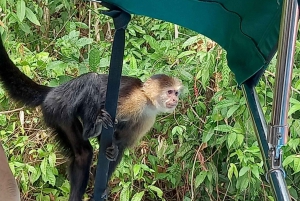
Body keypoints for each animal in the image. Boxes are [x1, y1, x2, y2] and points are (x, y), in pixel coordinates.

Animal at [0, 38, 183, 200]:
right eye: (169, 92)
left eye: (176, 92)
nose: (175, 99)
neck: (148, 101)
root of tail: (54, 91)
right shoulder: (135, 100)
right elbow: (106, 120)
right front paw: (100, 130)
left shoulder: (148, 118)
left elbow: (120, 144)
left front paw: (111, 157)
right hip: (59, 103)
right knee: (91, 79)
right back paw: (90, 129)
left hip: (58, 116)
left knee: (83, 153)